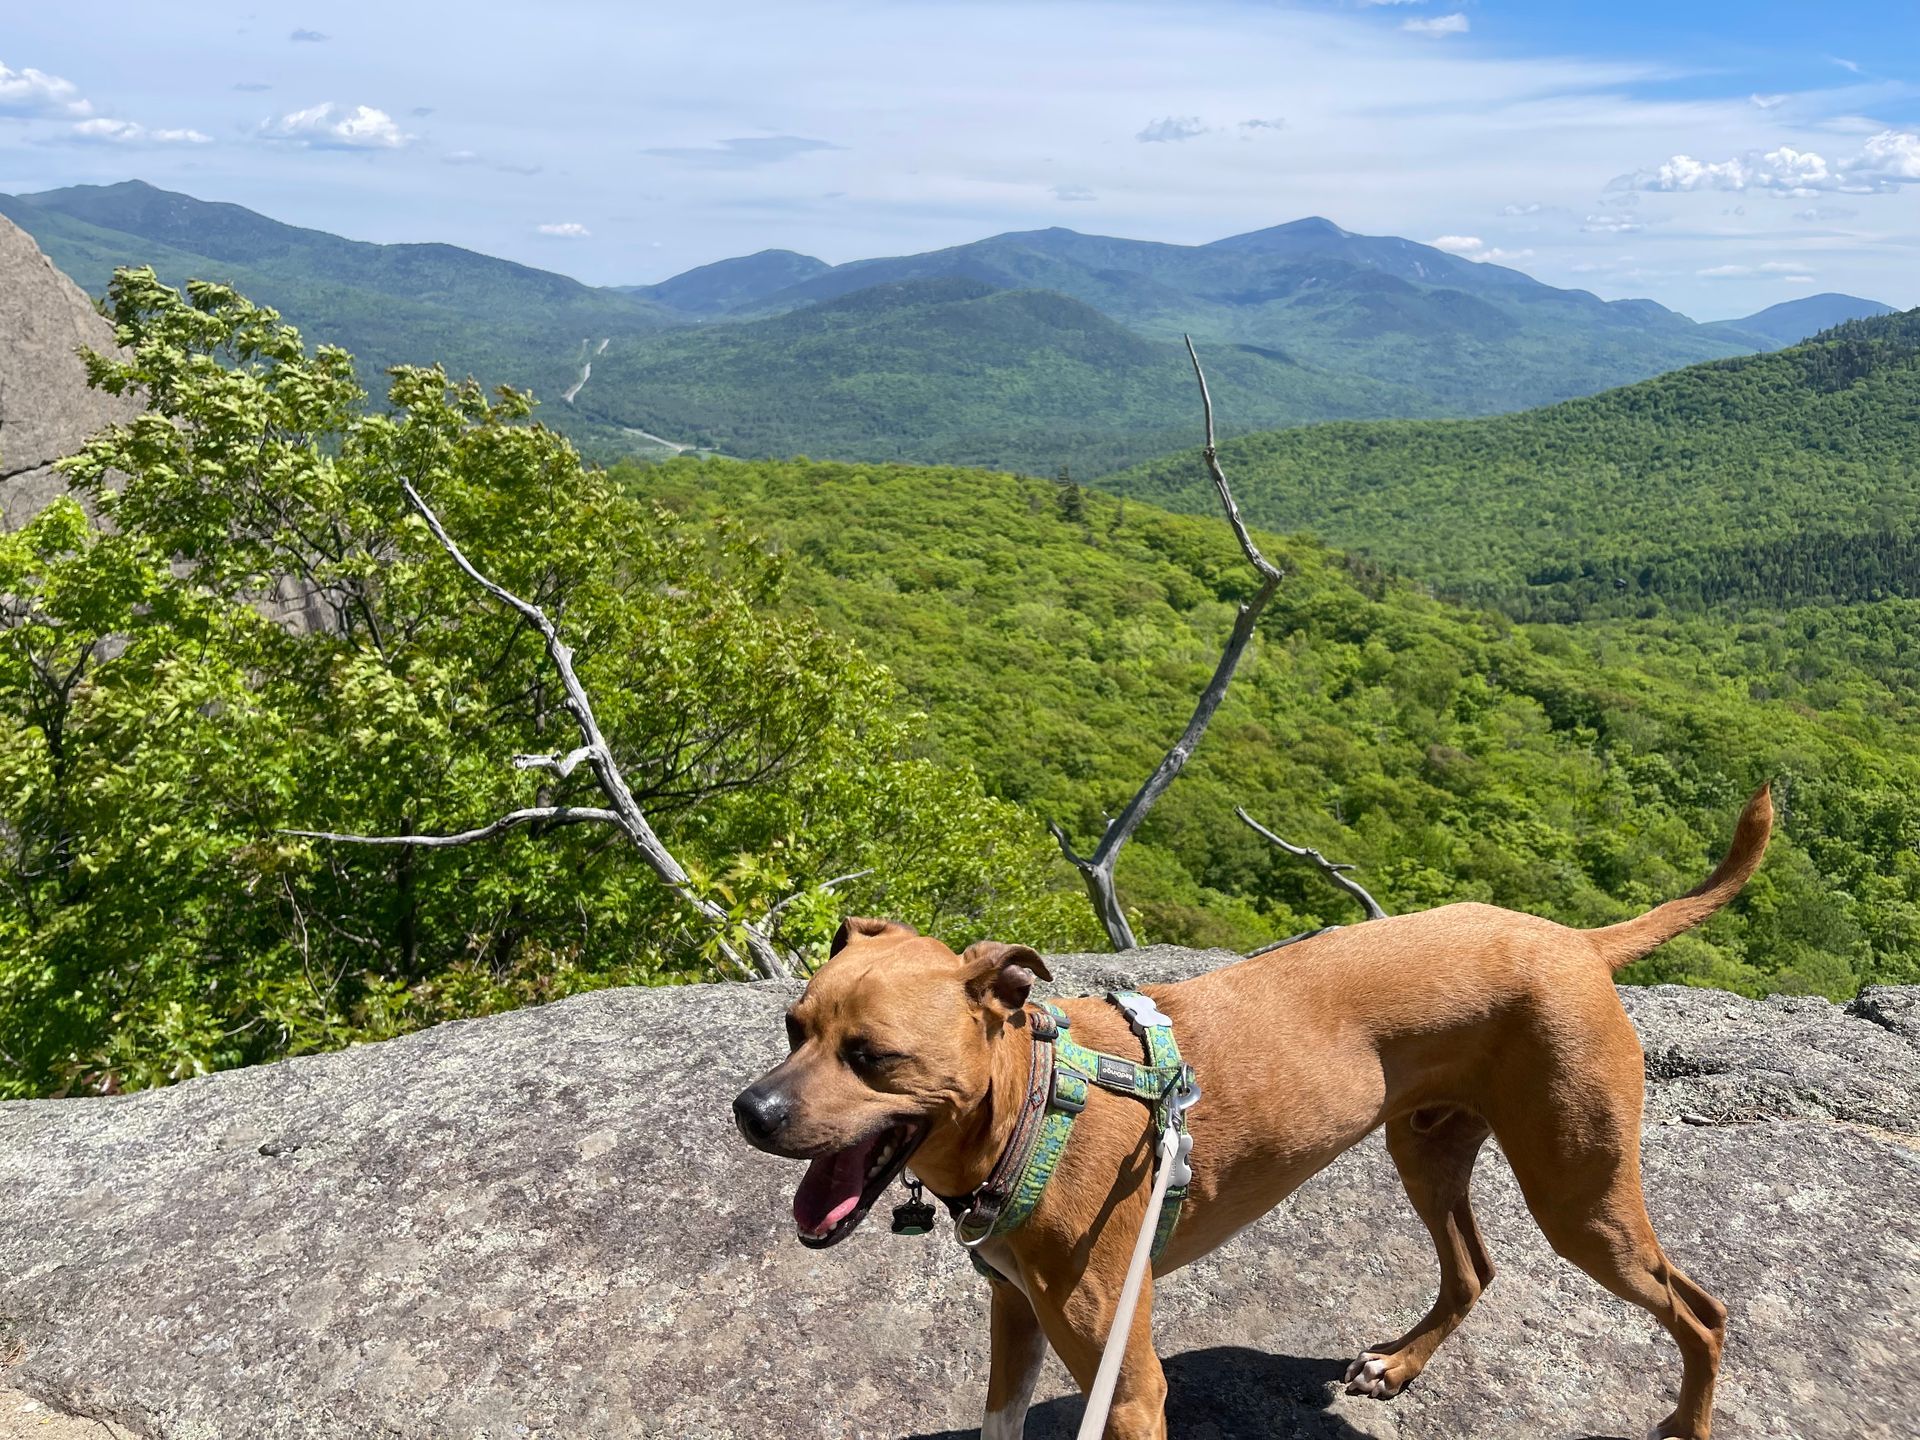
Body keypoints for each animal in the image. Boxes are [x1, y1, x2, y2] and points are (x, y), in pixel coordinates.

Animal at [729, 791, 1766, 1440]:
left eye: (872, 1057)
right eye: (793, 1027)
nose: (749, 1110)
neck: (1036, 1109)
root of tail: (1574, 940)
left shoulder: (1129, 1384)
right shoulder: (1014, 1320)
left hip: (1579, 1196)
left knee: (1704, 1312)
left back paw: (1689, 1422)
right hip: (1425, 1147)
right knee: (1474, 1268)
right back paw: (1398, 1365)